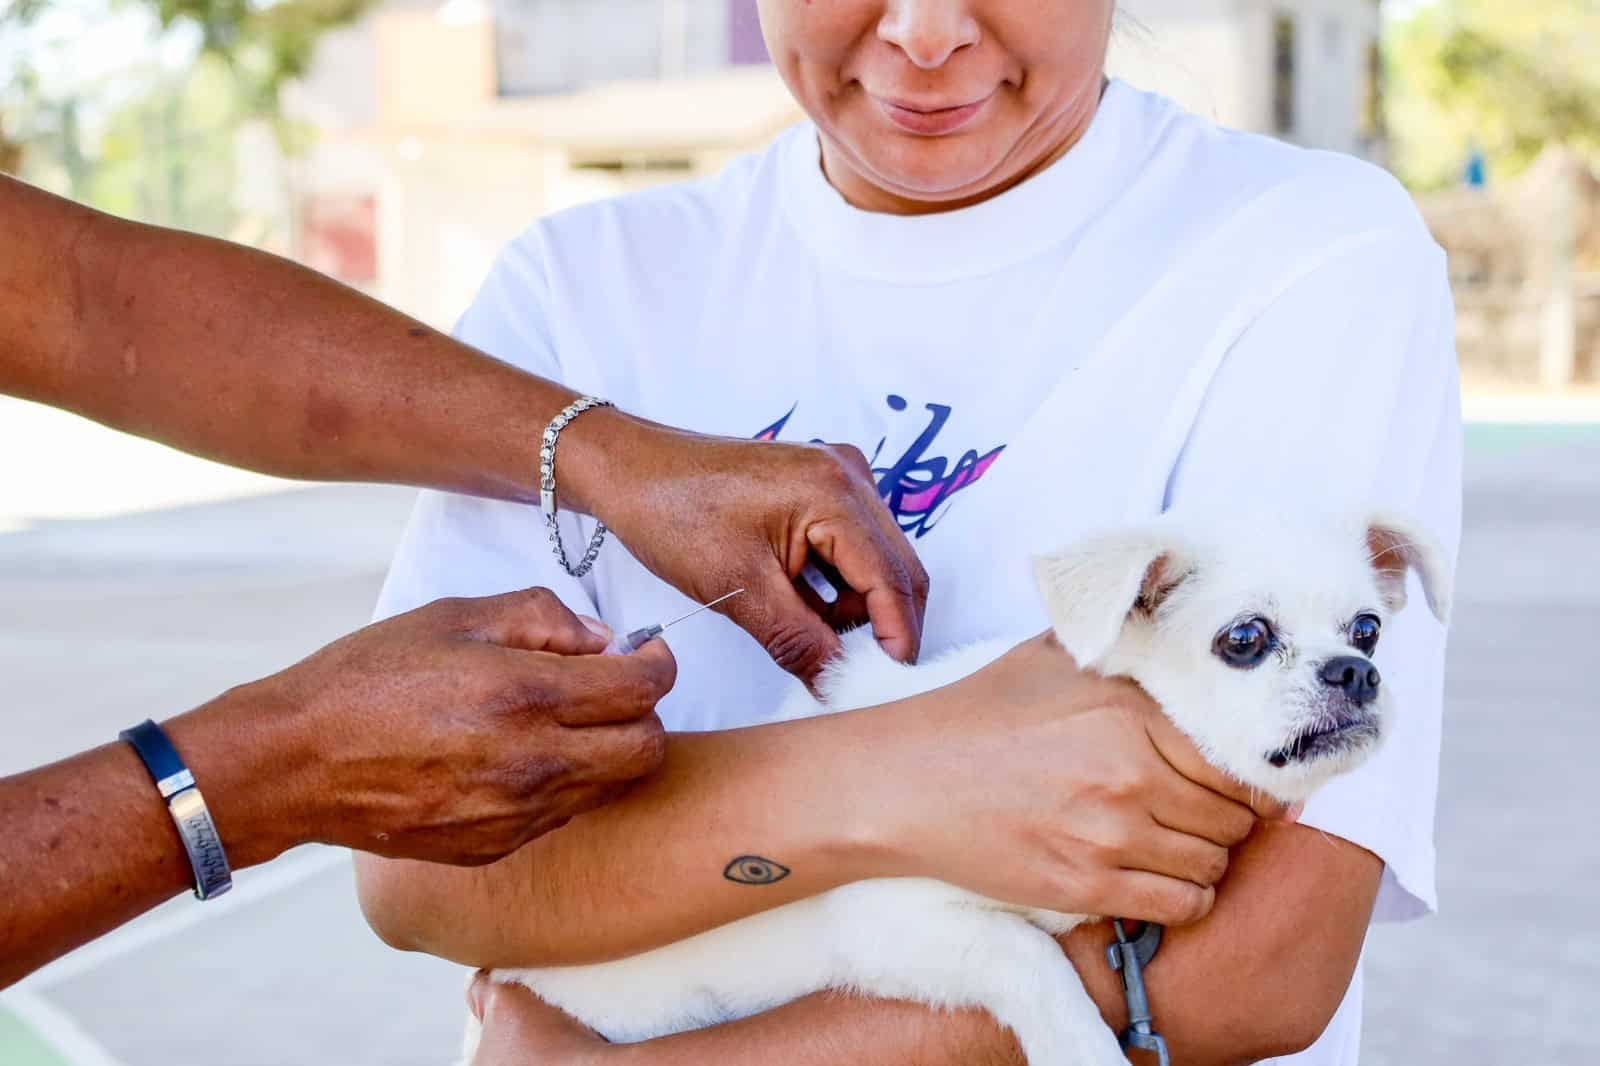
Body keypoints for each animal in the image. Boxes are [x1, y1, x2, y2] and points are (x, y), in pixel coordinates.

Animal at [464, 512, 1452, 1056]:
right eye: (1244, 640)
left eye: (1368, 629)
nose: (1355, 674)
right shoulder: (896, 924)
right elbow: (1031, 958)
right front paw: (1082, 1050)